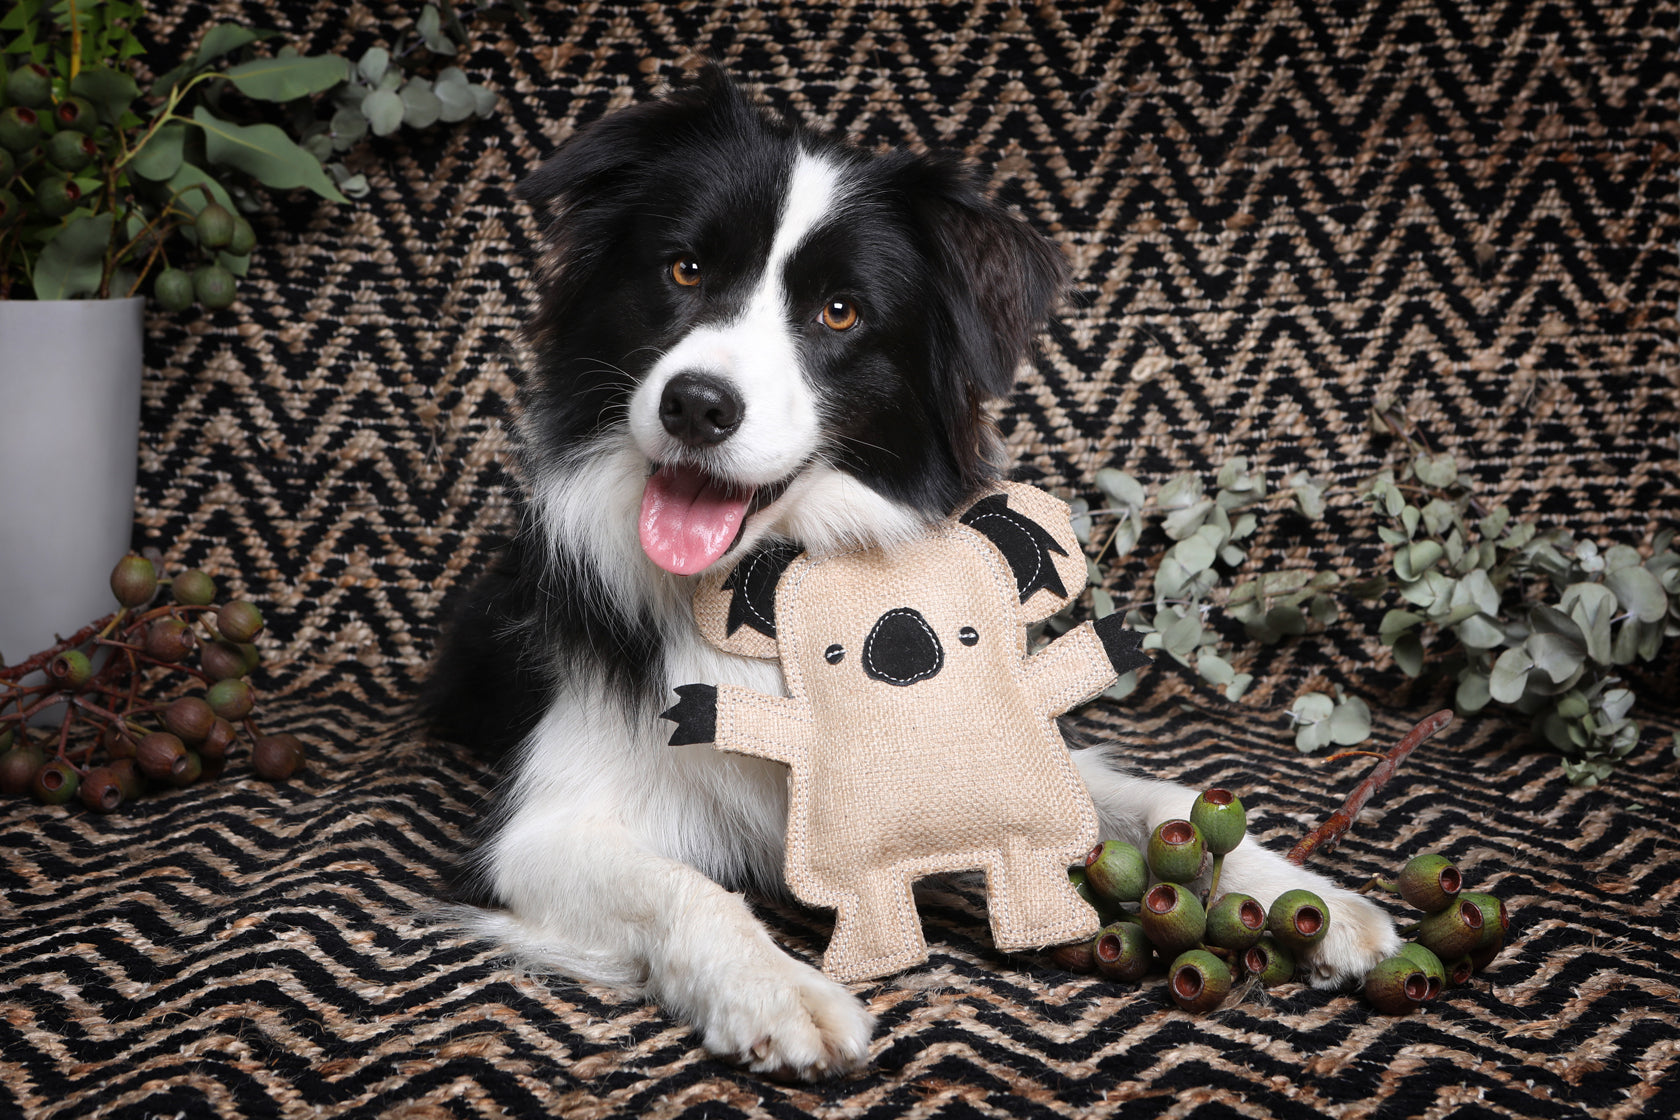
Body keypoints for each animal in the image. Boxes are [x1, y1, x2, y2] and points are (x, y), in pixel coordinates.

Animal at [430, 68, 1391, 1074]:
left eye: (840, 312)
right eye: (684, 269)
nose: (696, 404)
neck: (761, 577)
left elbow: (1148, 798)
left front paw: (1314, 900)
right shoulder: (537, 834)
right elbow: (688, 888)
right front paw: (780, 993)